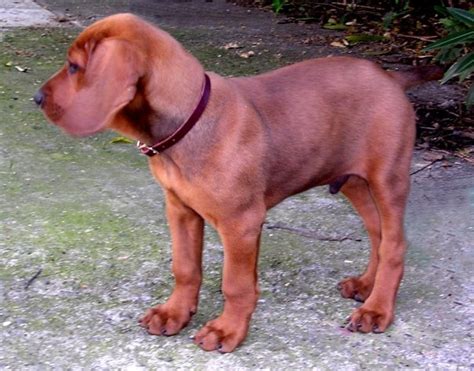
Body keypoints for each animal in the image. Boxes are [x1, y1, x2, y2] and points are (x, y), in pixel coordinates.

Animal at [35, 13, 442, 354]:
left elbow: (236, 284)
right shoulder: (179, 210)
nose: (36, 98)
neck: (190, 123)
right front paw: (174, 313)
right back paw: (366, 287)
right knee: (378, 233)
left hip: (388, 178)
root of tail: (390, 77)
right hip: (353, 180)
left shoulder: (241, 223)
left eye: (74, 67)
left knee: (394, 243)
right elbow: (185, 268)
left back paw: (377, 309)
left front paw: (226, 330)